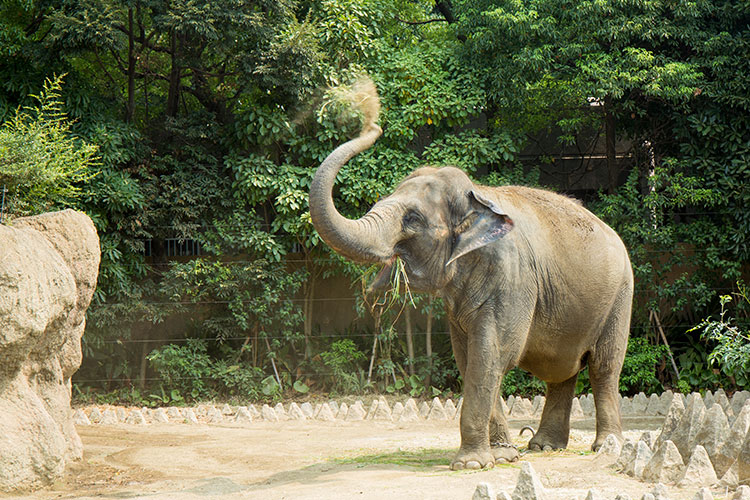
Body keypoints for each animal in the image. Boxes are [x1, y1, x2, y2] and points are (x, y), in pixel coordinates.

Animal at [312, 80, 636, 470]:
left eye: (413, 219)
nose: (371, 117)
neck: (477, 196)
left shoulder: (513, 276)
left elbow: (494, 353)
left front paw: (470, 465)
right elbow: (470, 358)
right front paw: (502, 455)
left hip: (620, 294)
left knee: (604, 367)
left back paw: (605, 447)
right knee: (564, 371)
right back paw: (543, 447)